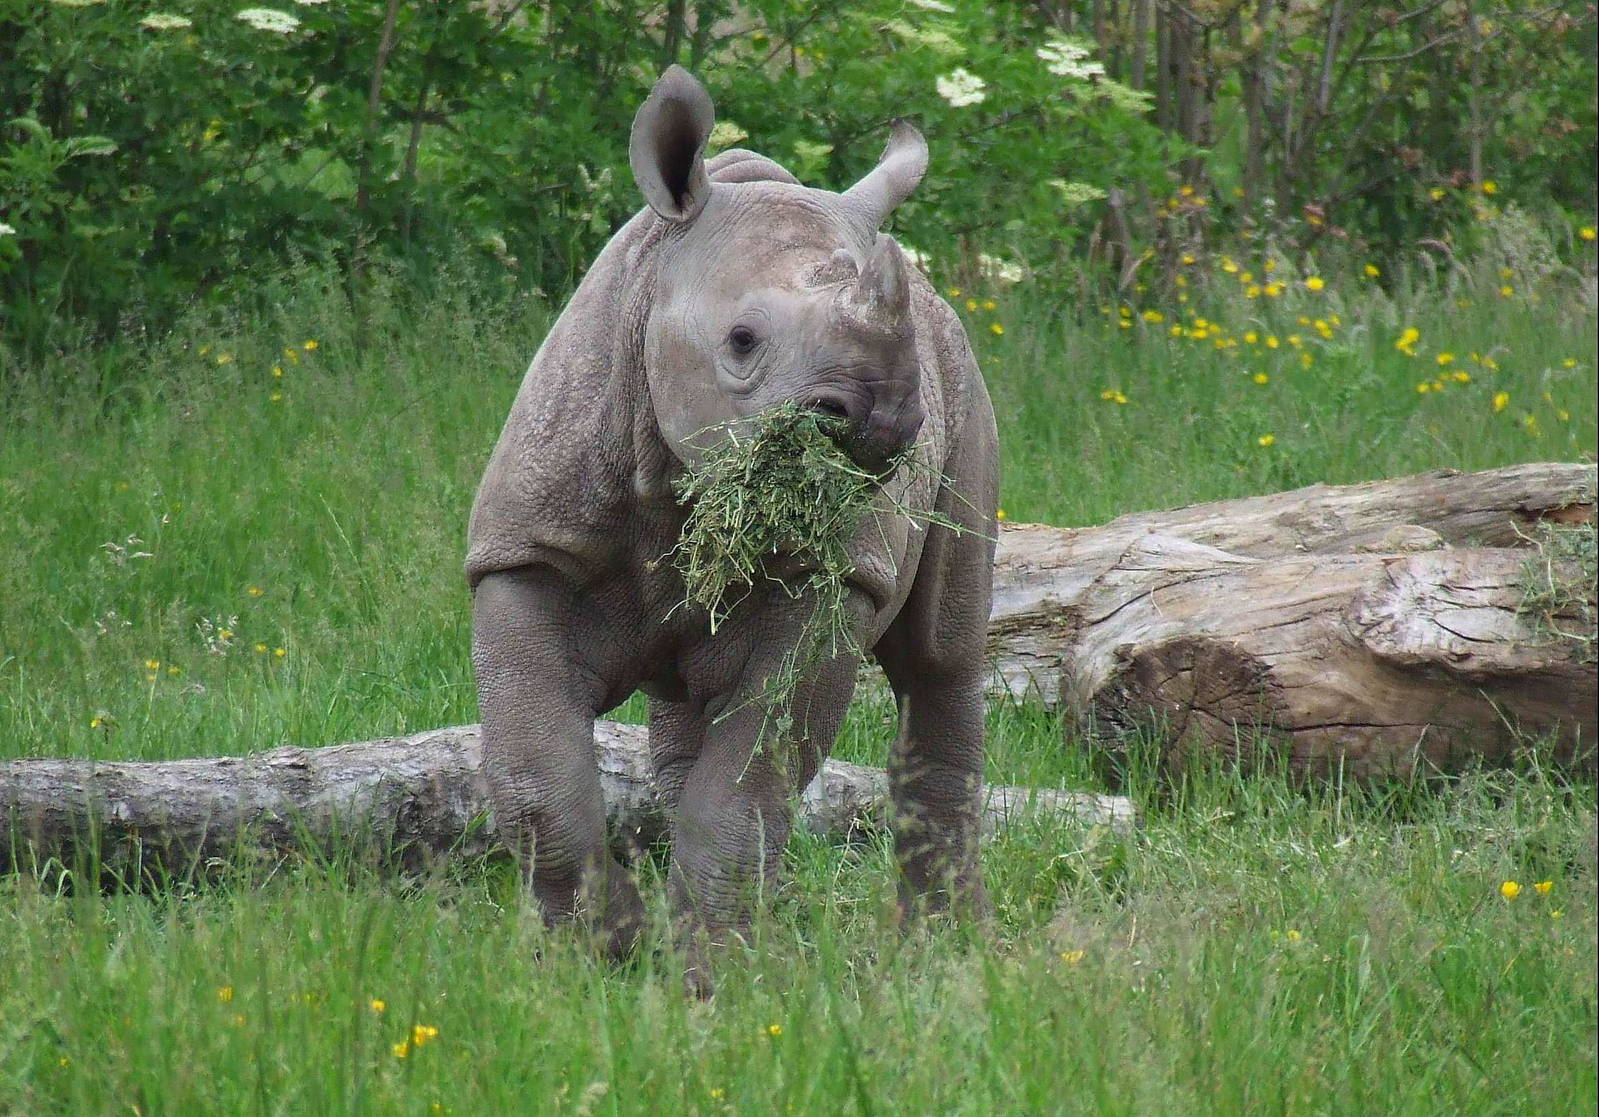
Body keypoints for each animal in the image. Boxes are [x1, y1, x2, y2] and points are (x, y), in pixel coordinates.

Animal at [467, 67, 998, 991]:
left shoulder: (830, 578)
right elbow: (533, 776)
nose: (887, 419)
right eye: (741, 340)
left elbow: (748, 790)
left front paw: (707, 979)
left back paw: (943, 952)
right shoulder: (526, 552)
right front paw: (603, 955)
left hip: (966, 383)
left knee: (942, 655)